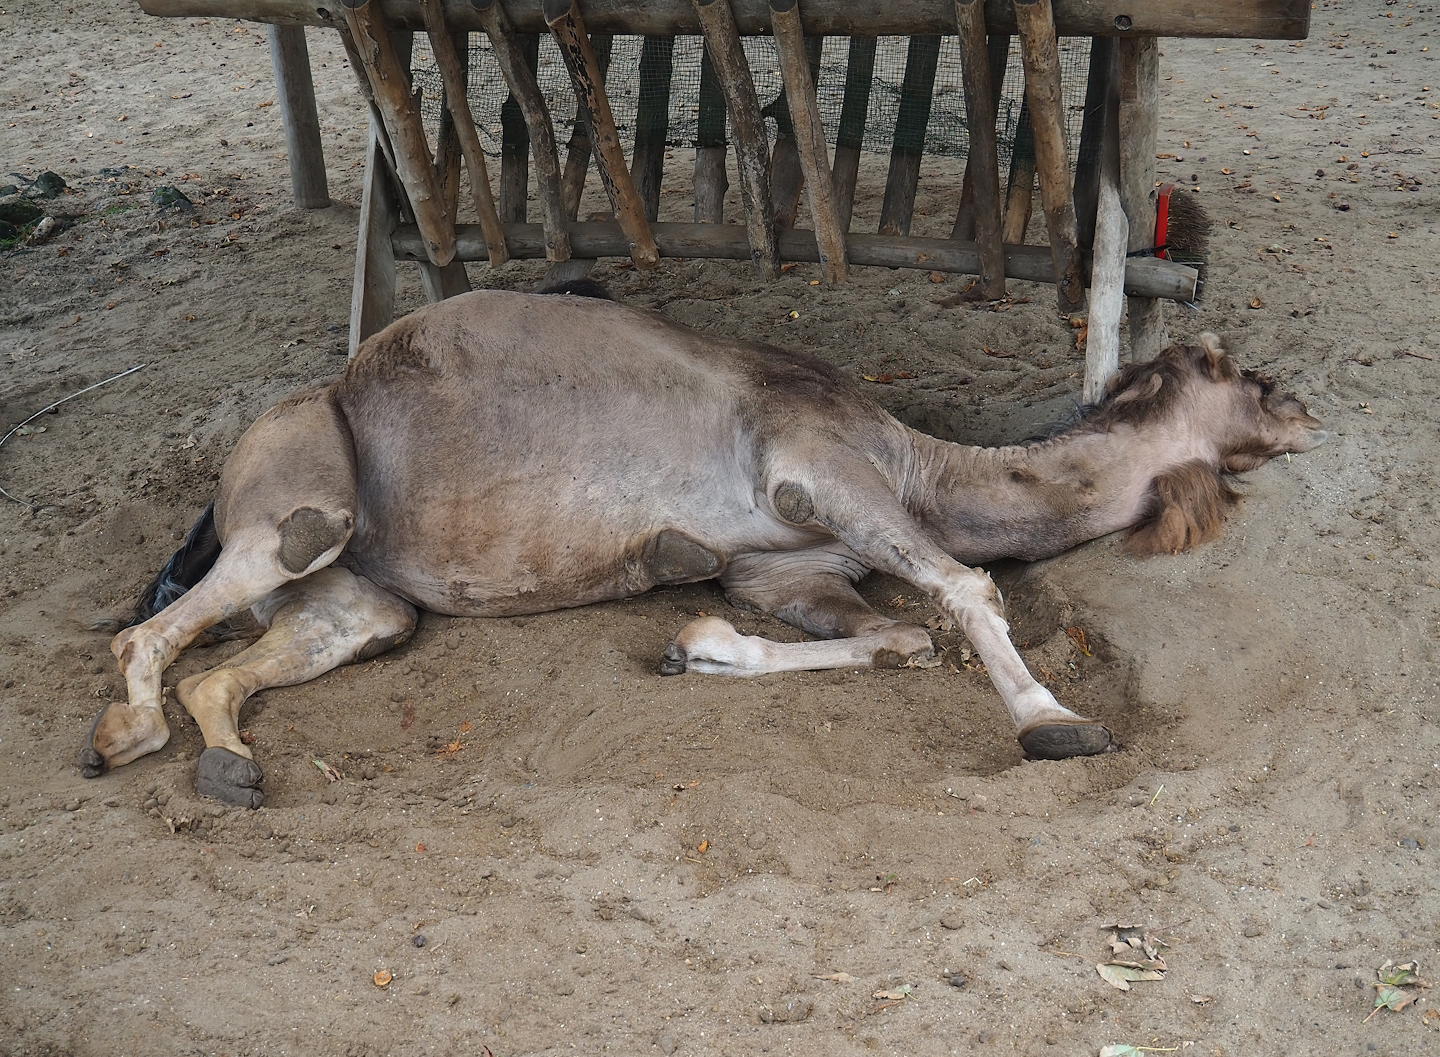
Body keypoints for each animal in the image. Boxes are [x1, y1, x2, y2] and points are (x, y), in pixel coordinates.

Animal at [79, 288, 1325, 807]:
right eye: (1242, 375)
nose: (1310, 409)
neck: (927, 464)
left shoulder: (786, 563)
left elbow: (891, 637)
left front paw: (699, 645)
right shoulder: (816, 467)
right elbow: (963, 587)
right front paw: (1054, 719)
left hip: (366, 594)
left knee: (263, 652)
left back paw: (227, 764)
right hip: (306, 502)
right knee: (157, 629)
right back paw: (125, 731)